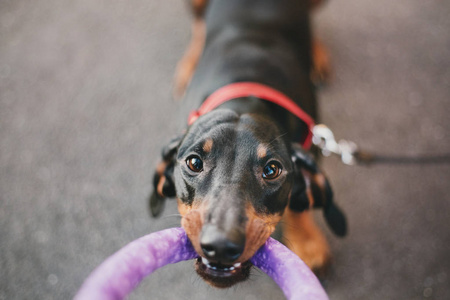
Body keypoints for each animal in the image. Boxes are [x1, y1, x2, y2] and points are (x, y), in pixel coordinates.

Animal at [149, 0, 346, 288]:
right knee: (198, 25)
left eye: (272, 170)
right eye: (194, 162)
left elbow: (299, 203)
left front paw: (307, 242)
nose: (220, 246)